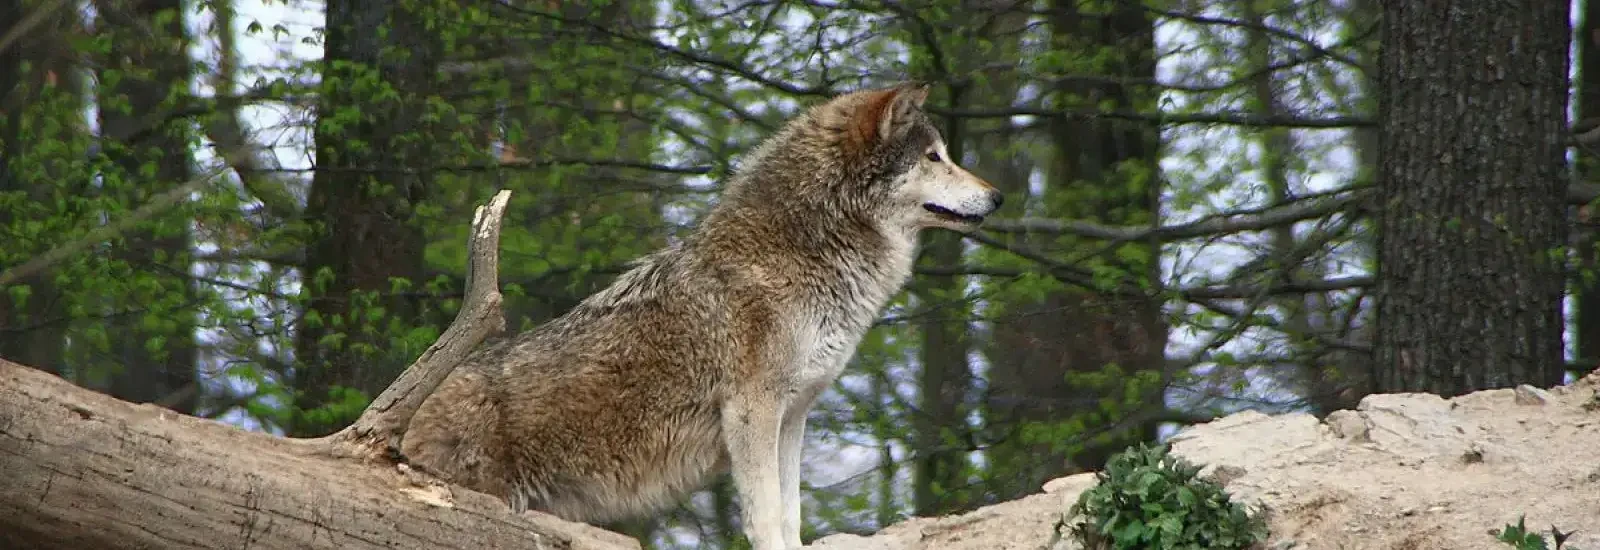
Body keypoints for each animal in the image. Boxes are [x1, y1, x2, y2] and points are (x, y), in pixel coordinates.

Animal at [400, 81, 1003, 550]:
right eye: (934, 158)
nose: (997, 197)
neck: (802, 255)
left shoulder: (792, 418)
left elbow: (790, 516)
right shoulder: (753, 413)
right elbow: (767, 518)